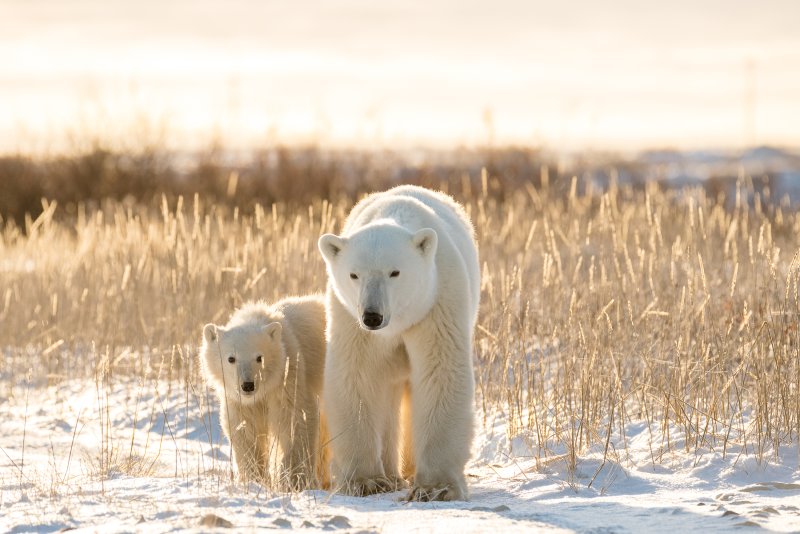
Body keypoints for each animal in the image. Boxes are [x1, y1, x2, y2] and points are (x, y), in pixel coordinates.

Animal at [199, 295, 330, 490]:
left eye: (259, 357)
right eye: (231, 358)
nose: (247, 385)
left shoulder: (289, 380)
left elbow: (295, 421)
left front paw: (293, 481)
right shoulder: (240, 402)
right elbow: (244, 430)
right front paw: (253, 479)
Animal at [318, 184, 480, 501]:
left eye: (395, 272)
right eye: (354, 274)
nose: (372, 315)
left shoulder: (436, 304)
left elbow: (439, 373)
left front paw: (435, 488)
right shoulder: (350, 319)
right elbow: (357, 375)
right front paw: (365, 481)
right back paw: (392, 475)